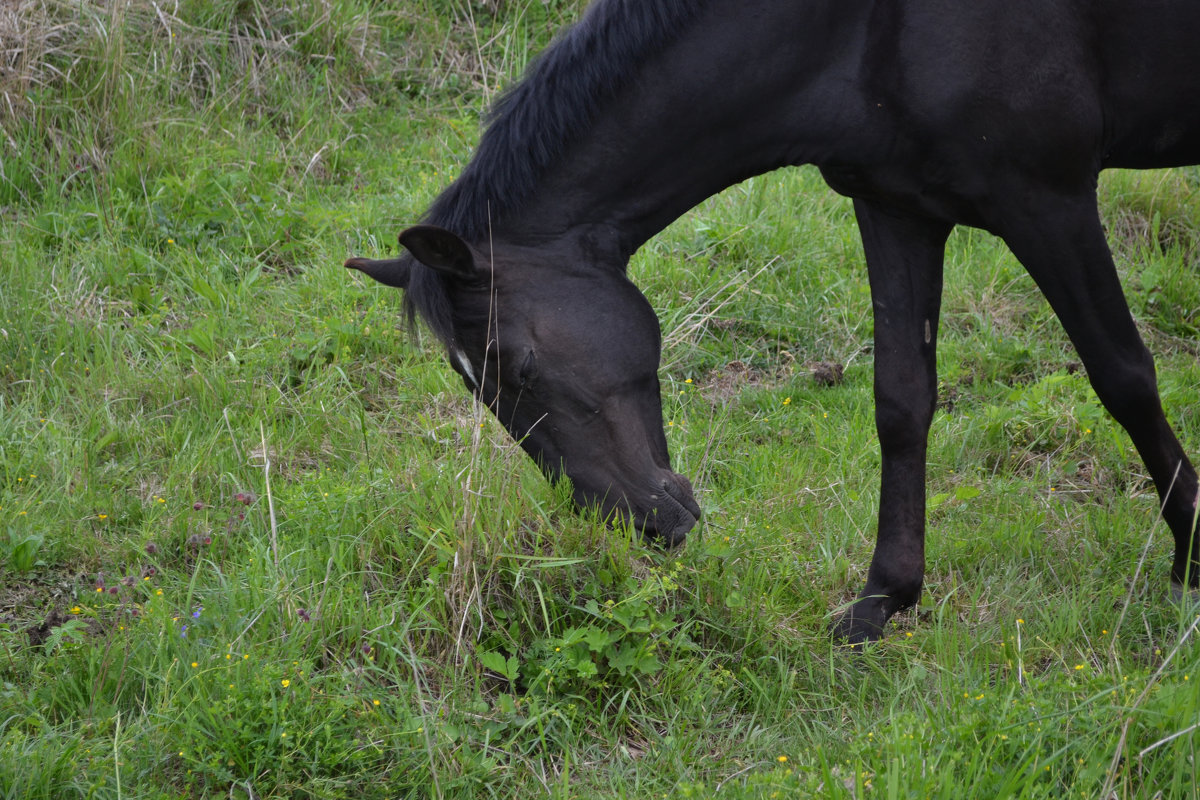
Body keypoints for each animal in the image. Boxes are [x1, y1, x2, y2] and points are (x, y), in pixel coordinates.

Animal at [345, 0, 1200, 642]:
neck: (867, 22)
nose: (643, 529)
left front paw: (1189, 558)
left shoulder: (1047, 197)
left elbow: (1124, 377)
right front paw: (882, 600)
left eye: (519, 366)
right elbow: (901, 403)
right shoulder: (897, 206)